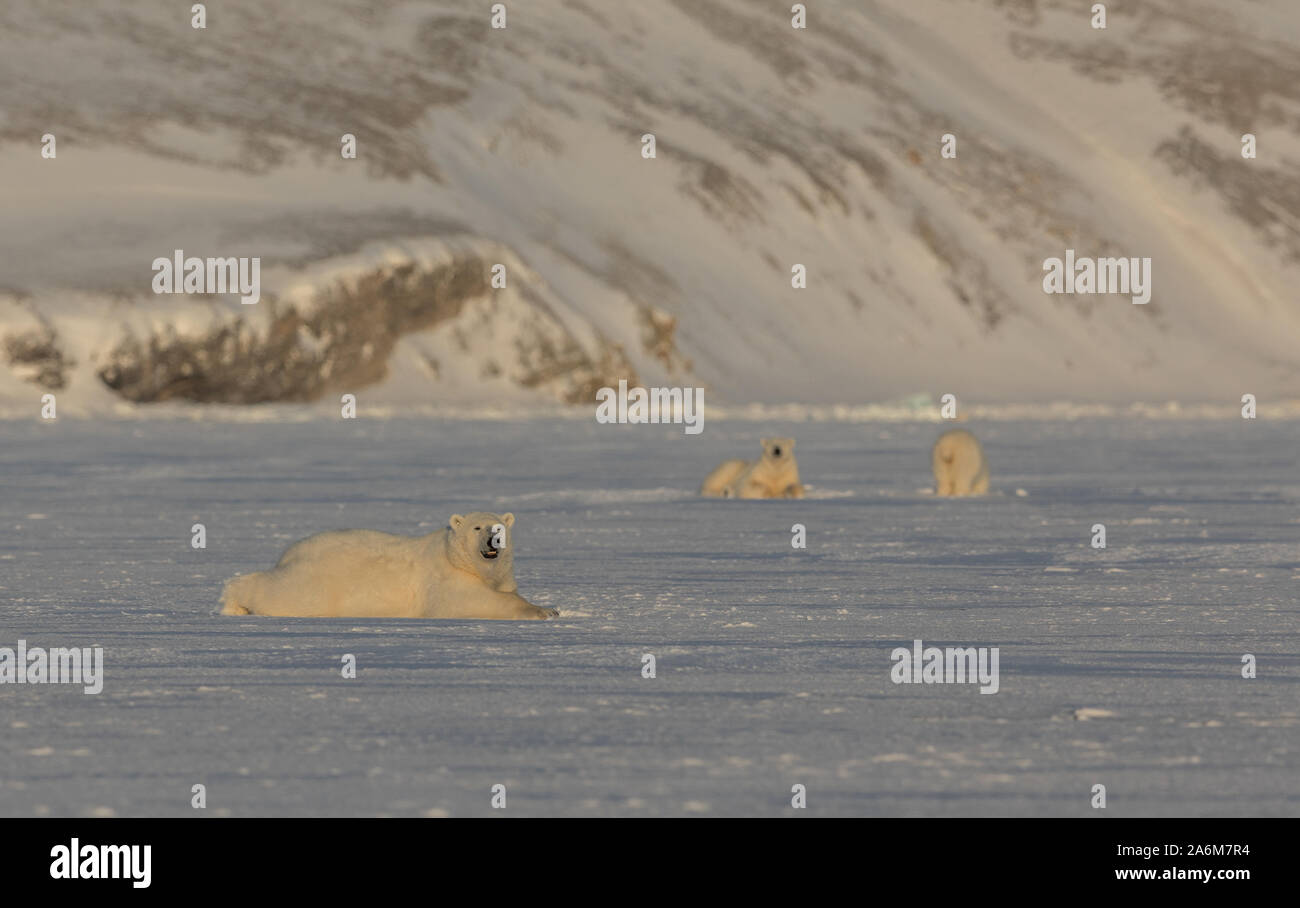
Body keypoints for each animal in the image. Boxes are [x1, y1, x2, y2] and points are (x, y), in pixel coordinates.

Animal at [219, 511, 558, 620]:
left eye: (499, 527)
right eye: (477, 528)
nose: (493, 540)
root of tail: (289, 552)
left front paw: (550, 608)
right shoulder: (445, 579)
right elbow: (472, 601)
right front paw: (540, 612)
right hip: (317, 580)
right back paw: (234, 601)